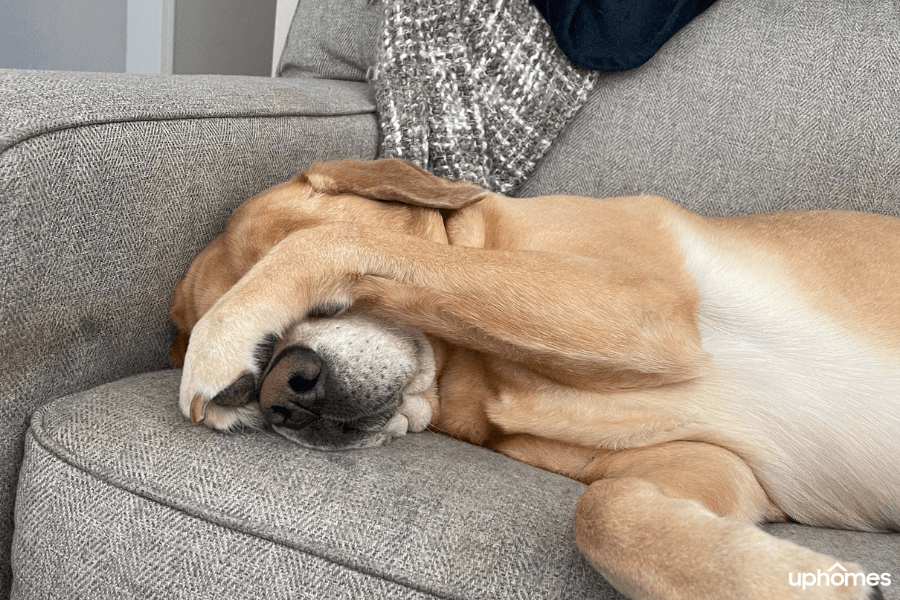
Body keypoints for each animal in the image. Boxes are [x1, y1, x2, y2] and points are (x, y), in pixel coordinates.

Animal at [172, 158, 896, 600]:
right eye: (254, 385)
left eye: (321, 306)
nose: (278, 392)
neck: (476, 371)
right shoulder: (717, 467)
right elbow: (605, 512)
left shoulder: (642, 305)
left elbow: (355, 248)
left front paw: (218, 337)